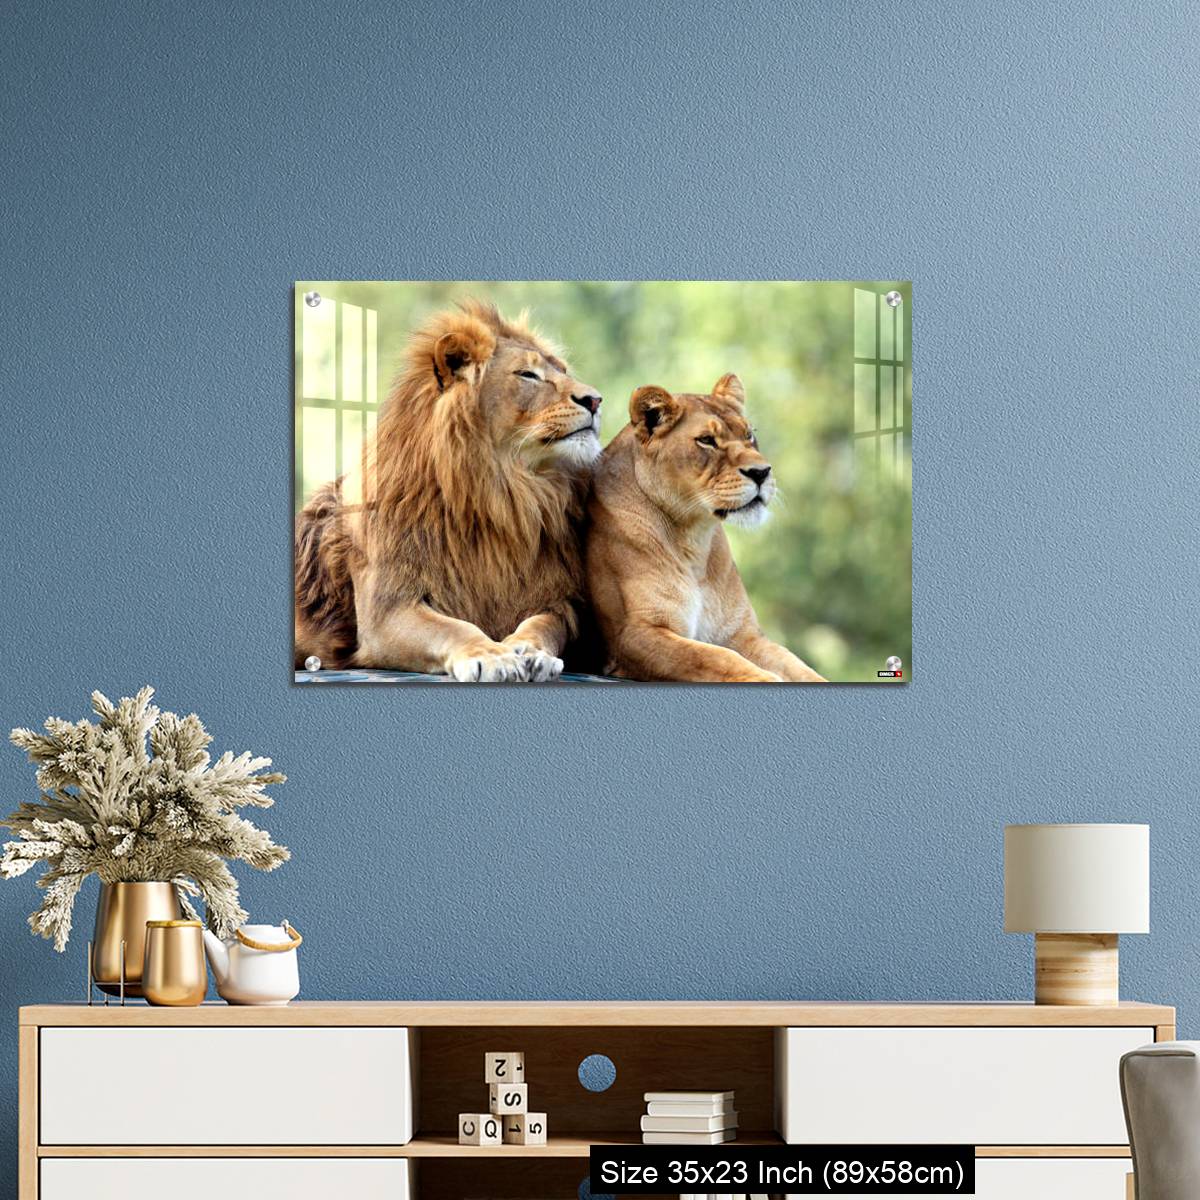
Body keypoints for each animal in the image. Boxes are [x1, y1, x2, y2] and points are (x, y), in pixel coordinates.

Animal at [295, 301, 603, 681]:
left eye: (563, 370)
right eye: (527, 375)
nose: (596, 400)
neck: (503, 495)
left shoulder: (558, 600)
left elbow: (544, 625)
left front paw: (531, 651)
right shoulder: (386, 611)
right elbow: (454, 627)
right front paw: (492, 655)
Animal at [585, 373, 826, 683]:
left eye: (749, 435)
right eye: (706, 441)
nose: (762, 472)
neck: (693, 539)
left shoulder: (742, 633)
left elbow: (796, 665)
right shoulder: (634, 635)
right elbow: (714, 657)